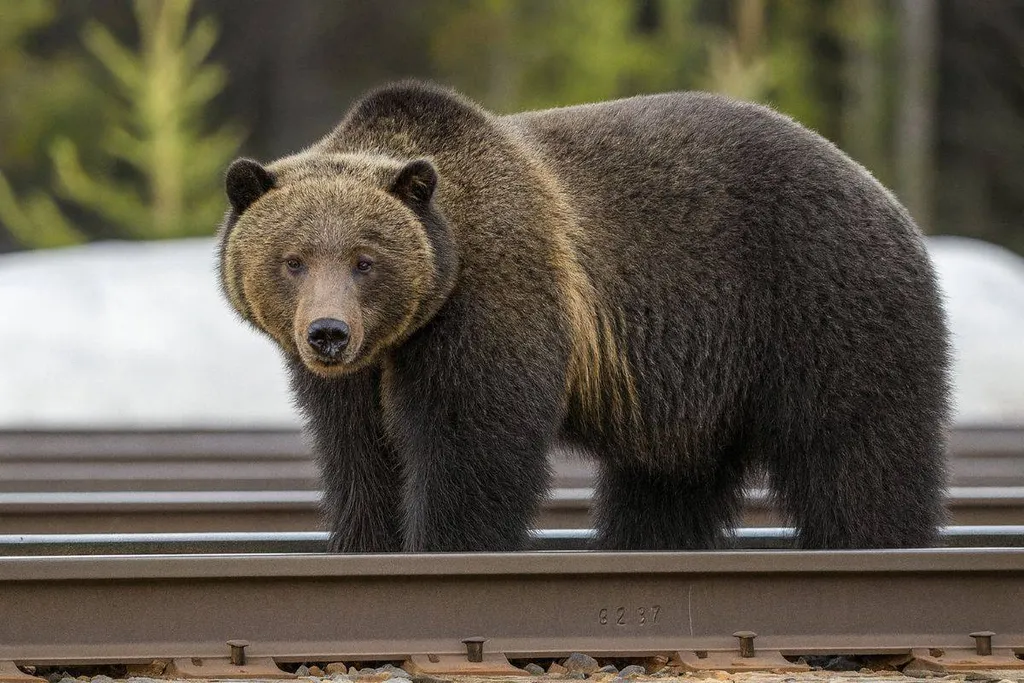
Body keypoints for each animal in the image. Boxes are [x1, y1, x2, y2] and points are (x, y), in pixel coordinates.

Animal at [216, 80, 951, 553]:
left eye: (365, 259)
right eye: (293, 259)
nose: (329, 334)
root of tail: (882, 192)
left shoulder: (496, 293)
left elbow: (470, 437)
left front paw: (447, 543)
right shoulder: (361, 372)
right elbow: (358, 452)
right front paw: (365, 541)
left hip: (820, 302)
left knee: (859, 451)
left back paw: (878, 542)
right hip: (694, 387)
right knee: (666, 483)